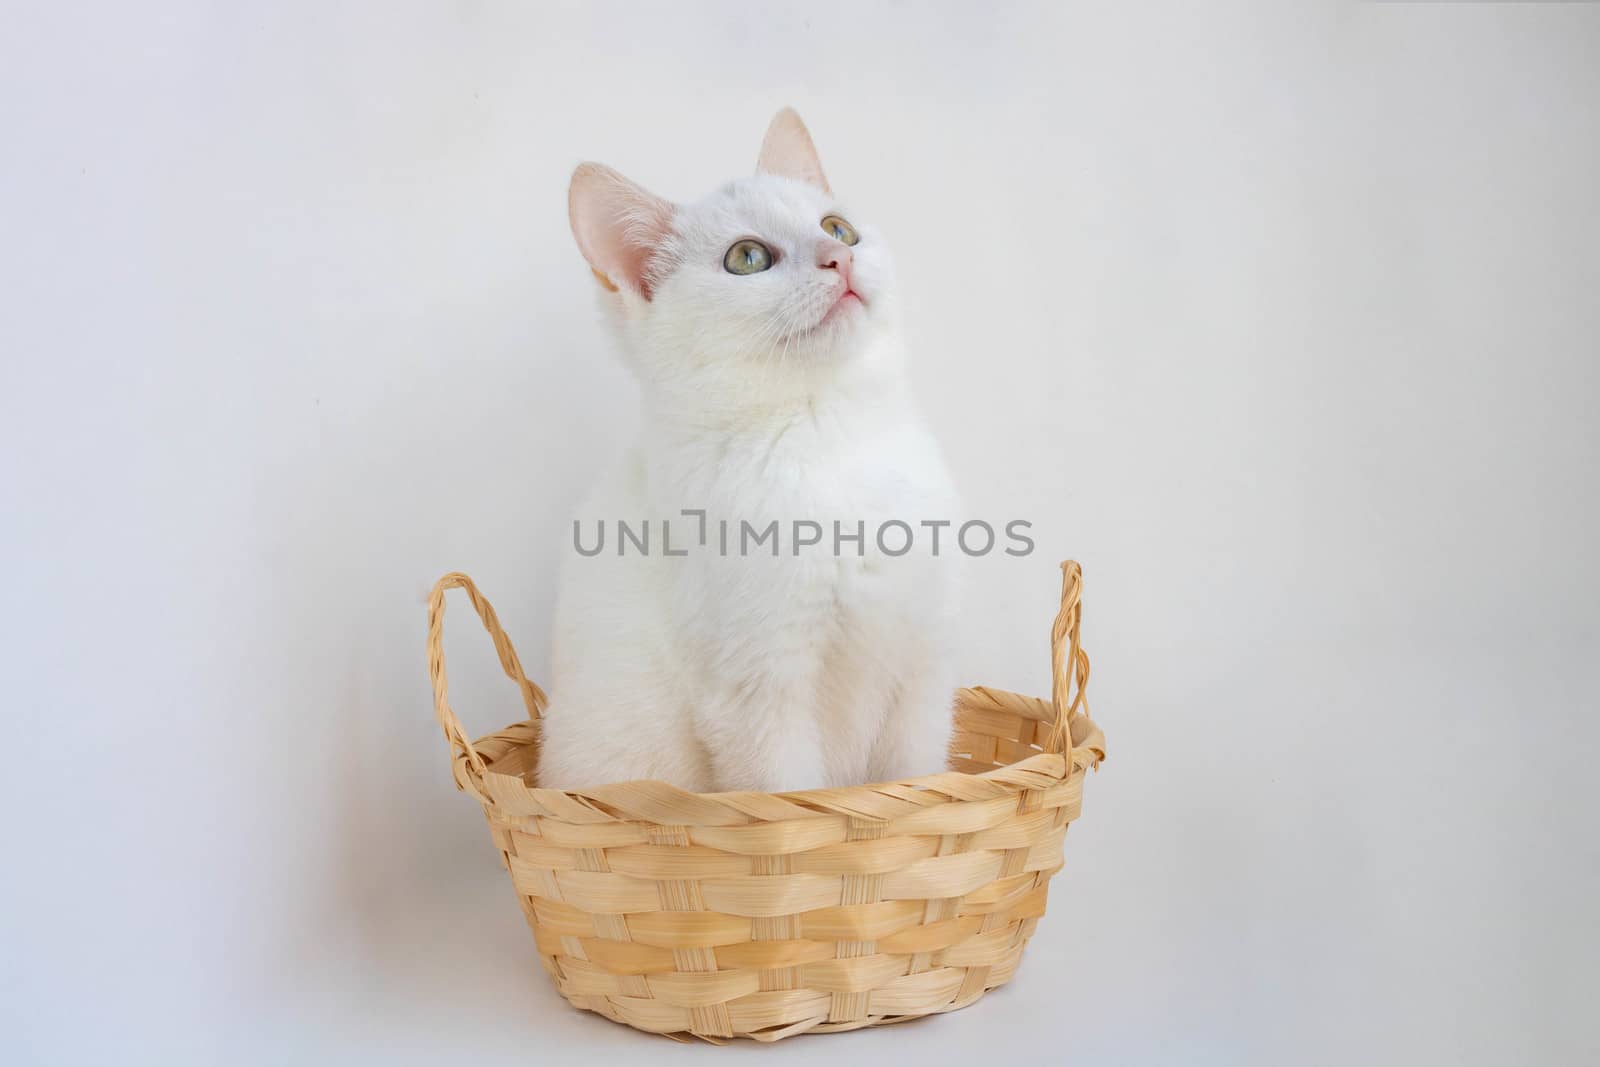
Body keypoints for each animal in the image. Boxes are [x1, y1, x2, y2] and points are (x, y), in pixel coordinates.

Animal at [537, 110, 960, 793]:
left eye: (837, 227)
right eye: (748, 257)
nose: (839, 257)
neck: (828, 435)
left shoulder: (923, 676)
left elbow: (919, 784)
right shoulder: (759, 696)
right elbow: (787, 797)